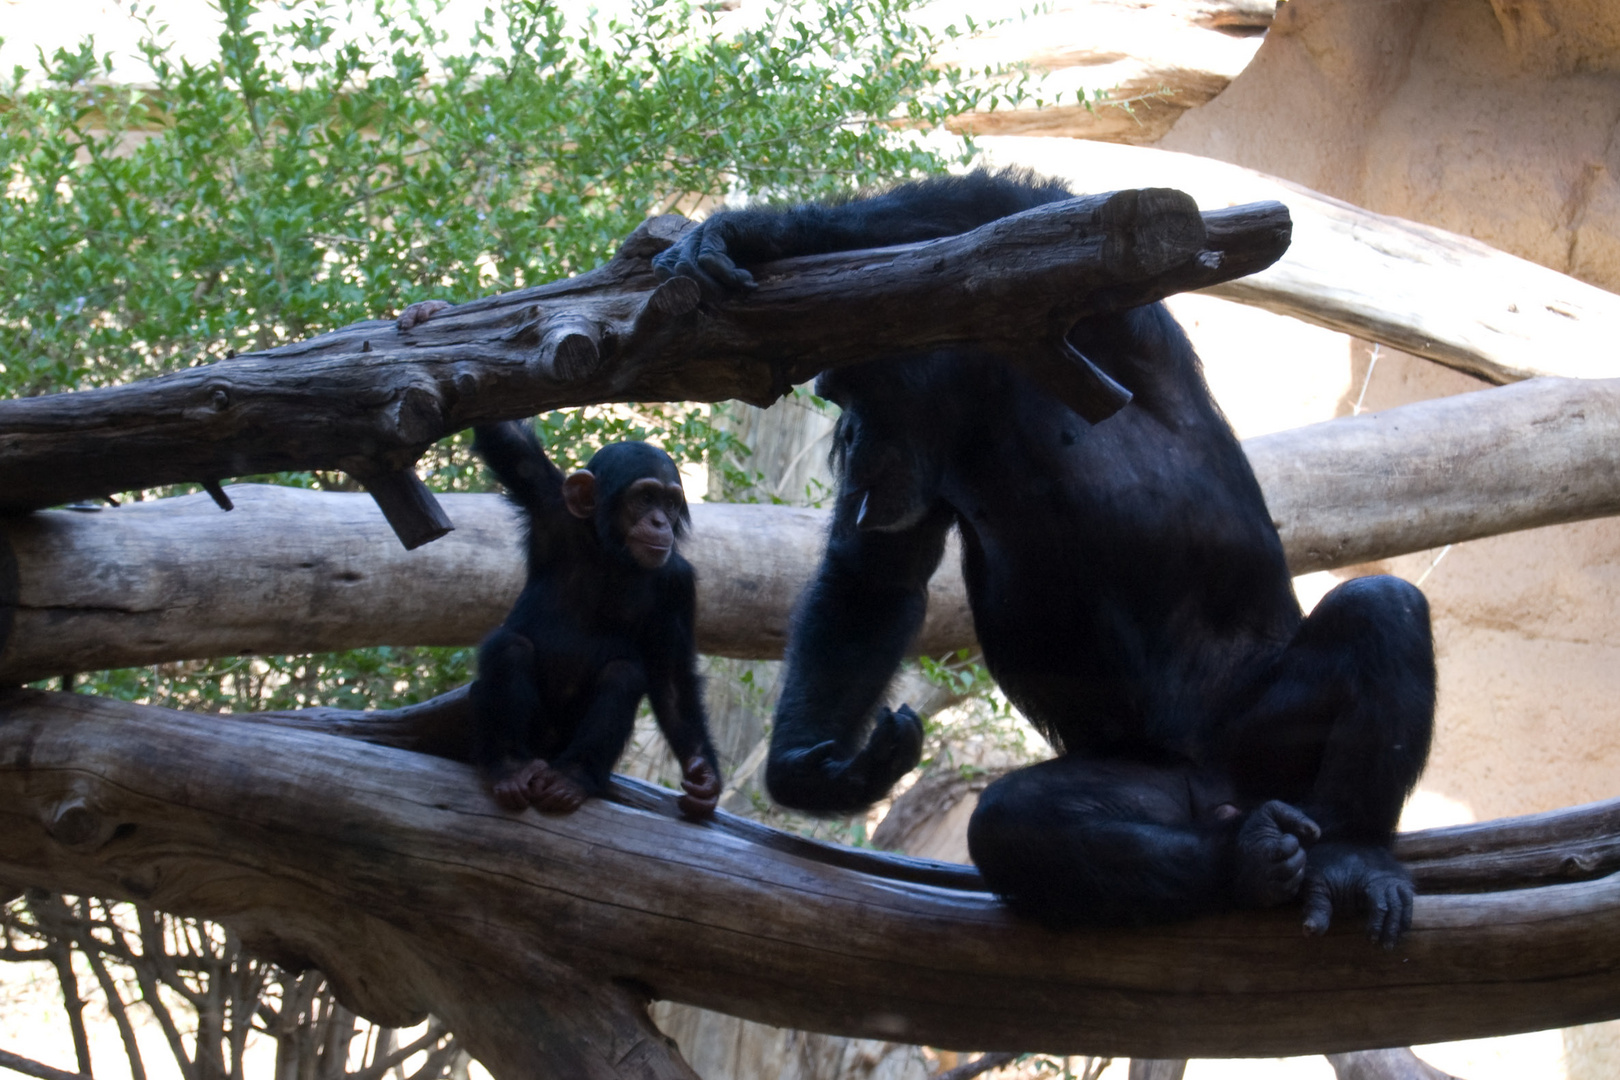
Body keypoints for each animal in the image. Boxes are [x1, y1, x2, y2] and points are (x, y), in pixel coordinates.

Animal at [469, 420, 722, 819]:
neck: (610, 553)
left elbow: (672, 681)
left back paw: (571, 779)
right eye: (645, 498)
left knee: (624, 673)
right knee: (509, 647)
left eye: (669, 502)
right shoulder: (548, 503)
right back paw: (509, 767)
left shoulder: (677, 585)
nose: (660, 521)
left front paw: (705, 777)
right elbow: (508, 443)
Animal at [651, 169, 1438, 945]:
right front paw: (820, 774)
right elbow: (873, 579)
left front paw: (735, 233)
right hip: (1160, 784)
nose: (844, 437)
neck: (981, 401)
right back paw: (1248, 859)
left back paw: (1351, 858)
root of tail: (1229, 794)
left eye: (846, 391)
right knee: (1017, 822)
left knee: (1380, 610)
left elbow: (1024, 215)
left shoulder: (1103, 330)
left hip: (1265, 750)